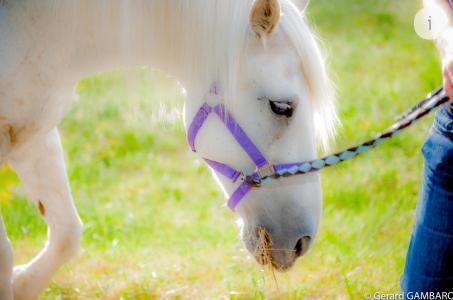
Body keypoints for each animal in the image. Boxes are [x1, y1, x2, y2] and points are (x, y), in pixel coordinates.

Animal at [0, 0, 336, 298]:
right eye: (282, 107)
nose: (302, 241)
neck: (45, 31)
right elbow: (7, 253)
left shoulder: (34, 137)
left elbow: (67, 234)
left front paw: (21, 284)